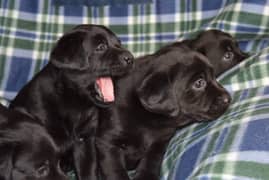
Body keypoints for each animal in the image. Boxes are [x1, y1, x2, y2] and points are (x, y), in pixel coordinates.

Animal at [9, 24, 134, 180]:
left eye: (118, 44)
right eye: (101, 47)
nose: (131, 58)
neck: (74, 102)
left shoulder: (85, 141)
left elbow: (87, 170)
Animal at [94, 42, 230, 180]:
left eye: (214, 76)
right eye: (199, 83)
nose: (228, 99)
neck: (148, 117)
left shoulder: (160, 141)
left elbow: (151, 159)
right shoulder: (107, 142)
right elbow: (114, 169)